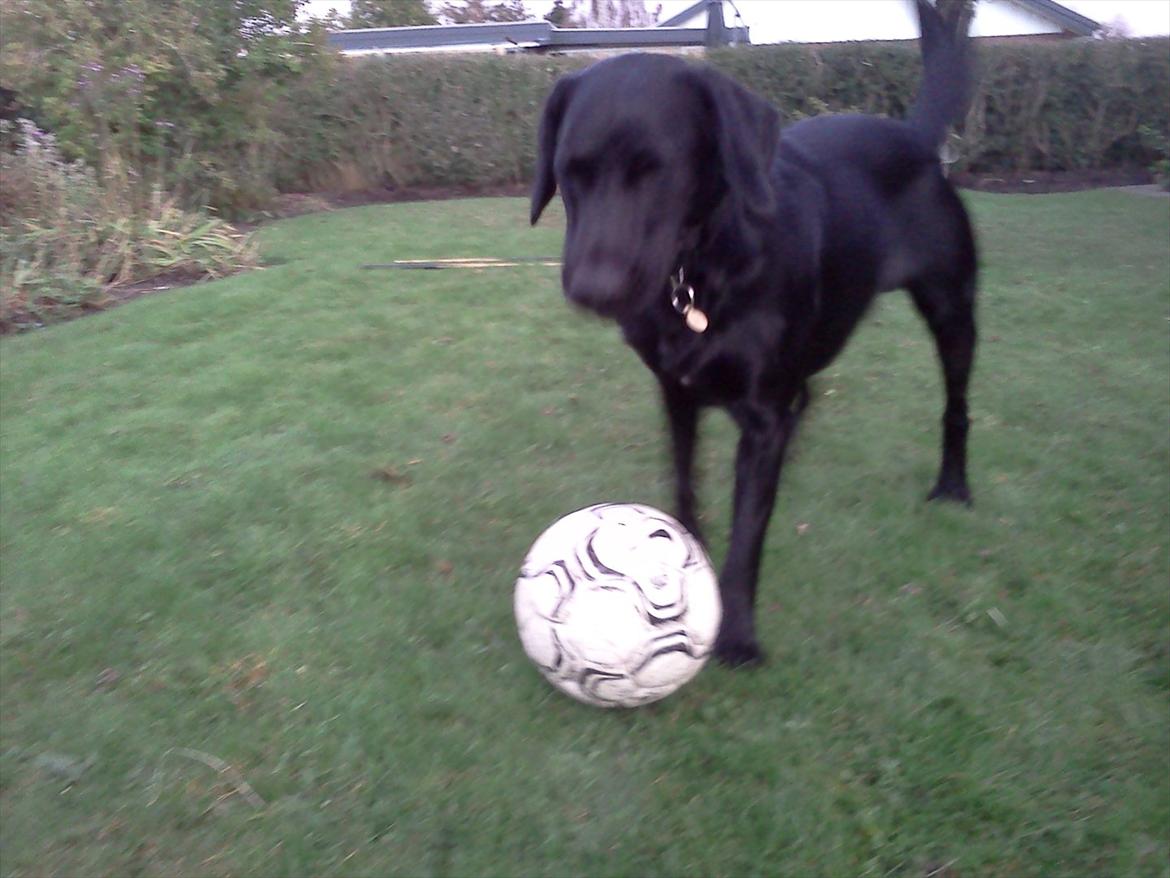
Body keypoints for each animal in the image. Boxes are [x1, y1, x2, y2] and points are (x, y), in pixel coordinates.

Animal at [533, 0, 978, 664]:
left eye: (657, 171)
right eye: (571, 172)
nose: (593, 289)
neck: (701, 273)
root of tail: (914, 137)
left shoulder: (764, 411)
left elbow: (748, 537)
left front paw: (738, 635)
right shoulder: (676, 392)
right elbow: (685, 484)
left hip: (952, 311)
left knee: (955, 407)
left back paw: (952, 487)